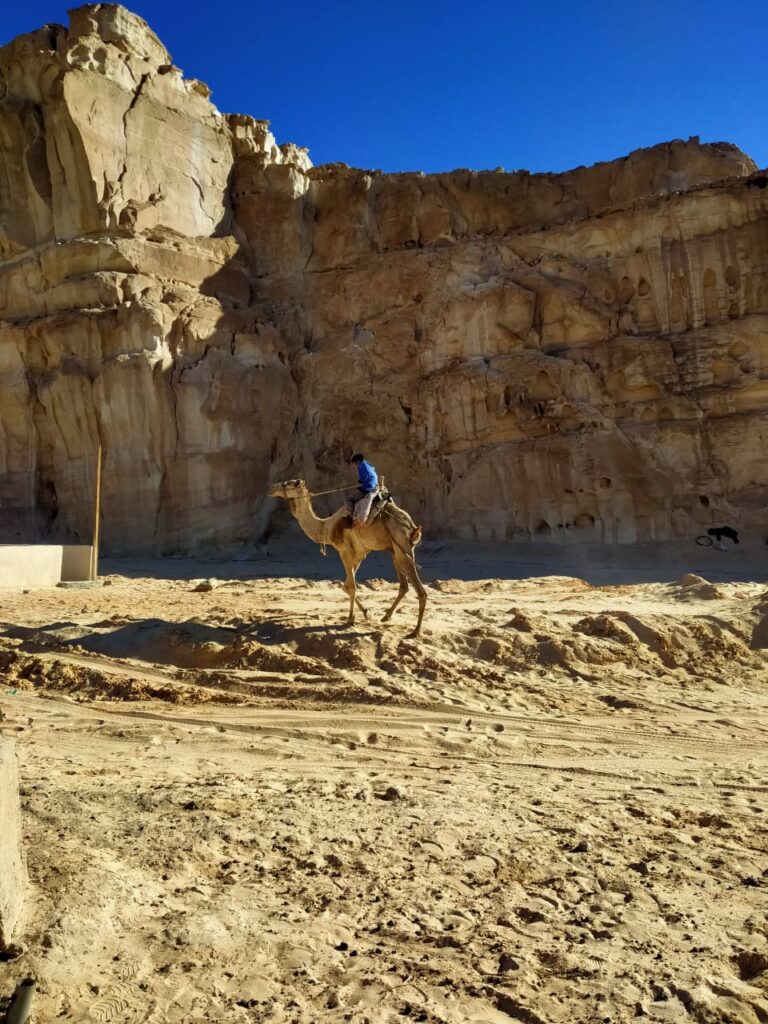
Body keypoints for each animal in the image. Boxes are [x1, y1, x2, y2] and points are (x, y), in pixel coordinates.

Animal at [268, 477, 428, 634]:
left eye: (286, 484)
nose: (272, 488)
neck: (327, 527)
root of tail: (412, 528)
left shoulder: (344, 551)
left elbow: (351, 586)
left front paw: (351, 619)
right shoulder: (359, 553)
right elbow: (346, 585)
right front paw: (365, 613)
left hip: (403, 549)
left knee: (420, 591)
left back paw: (415, 631)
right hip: (396, 551)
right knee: (404, 585)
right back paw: (386, 616)